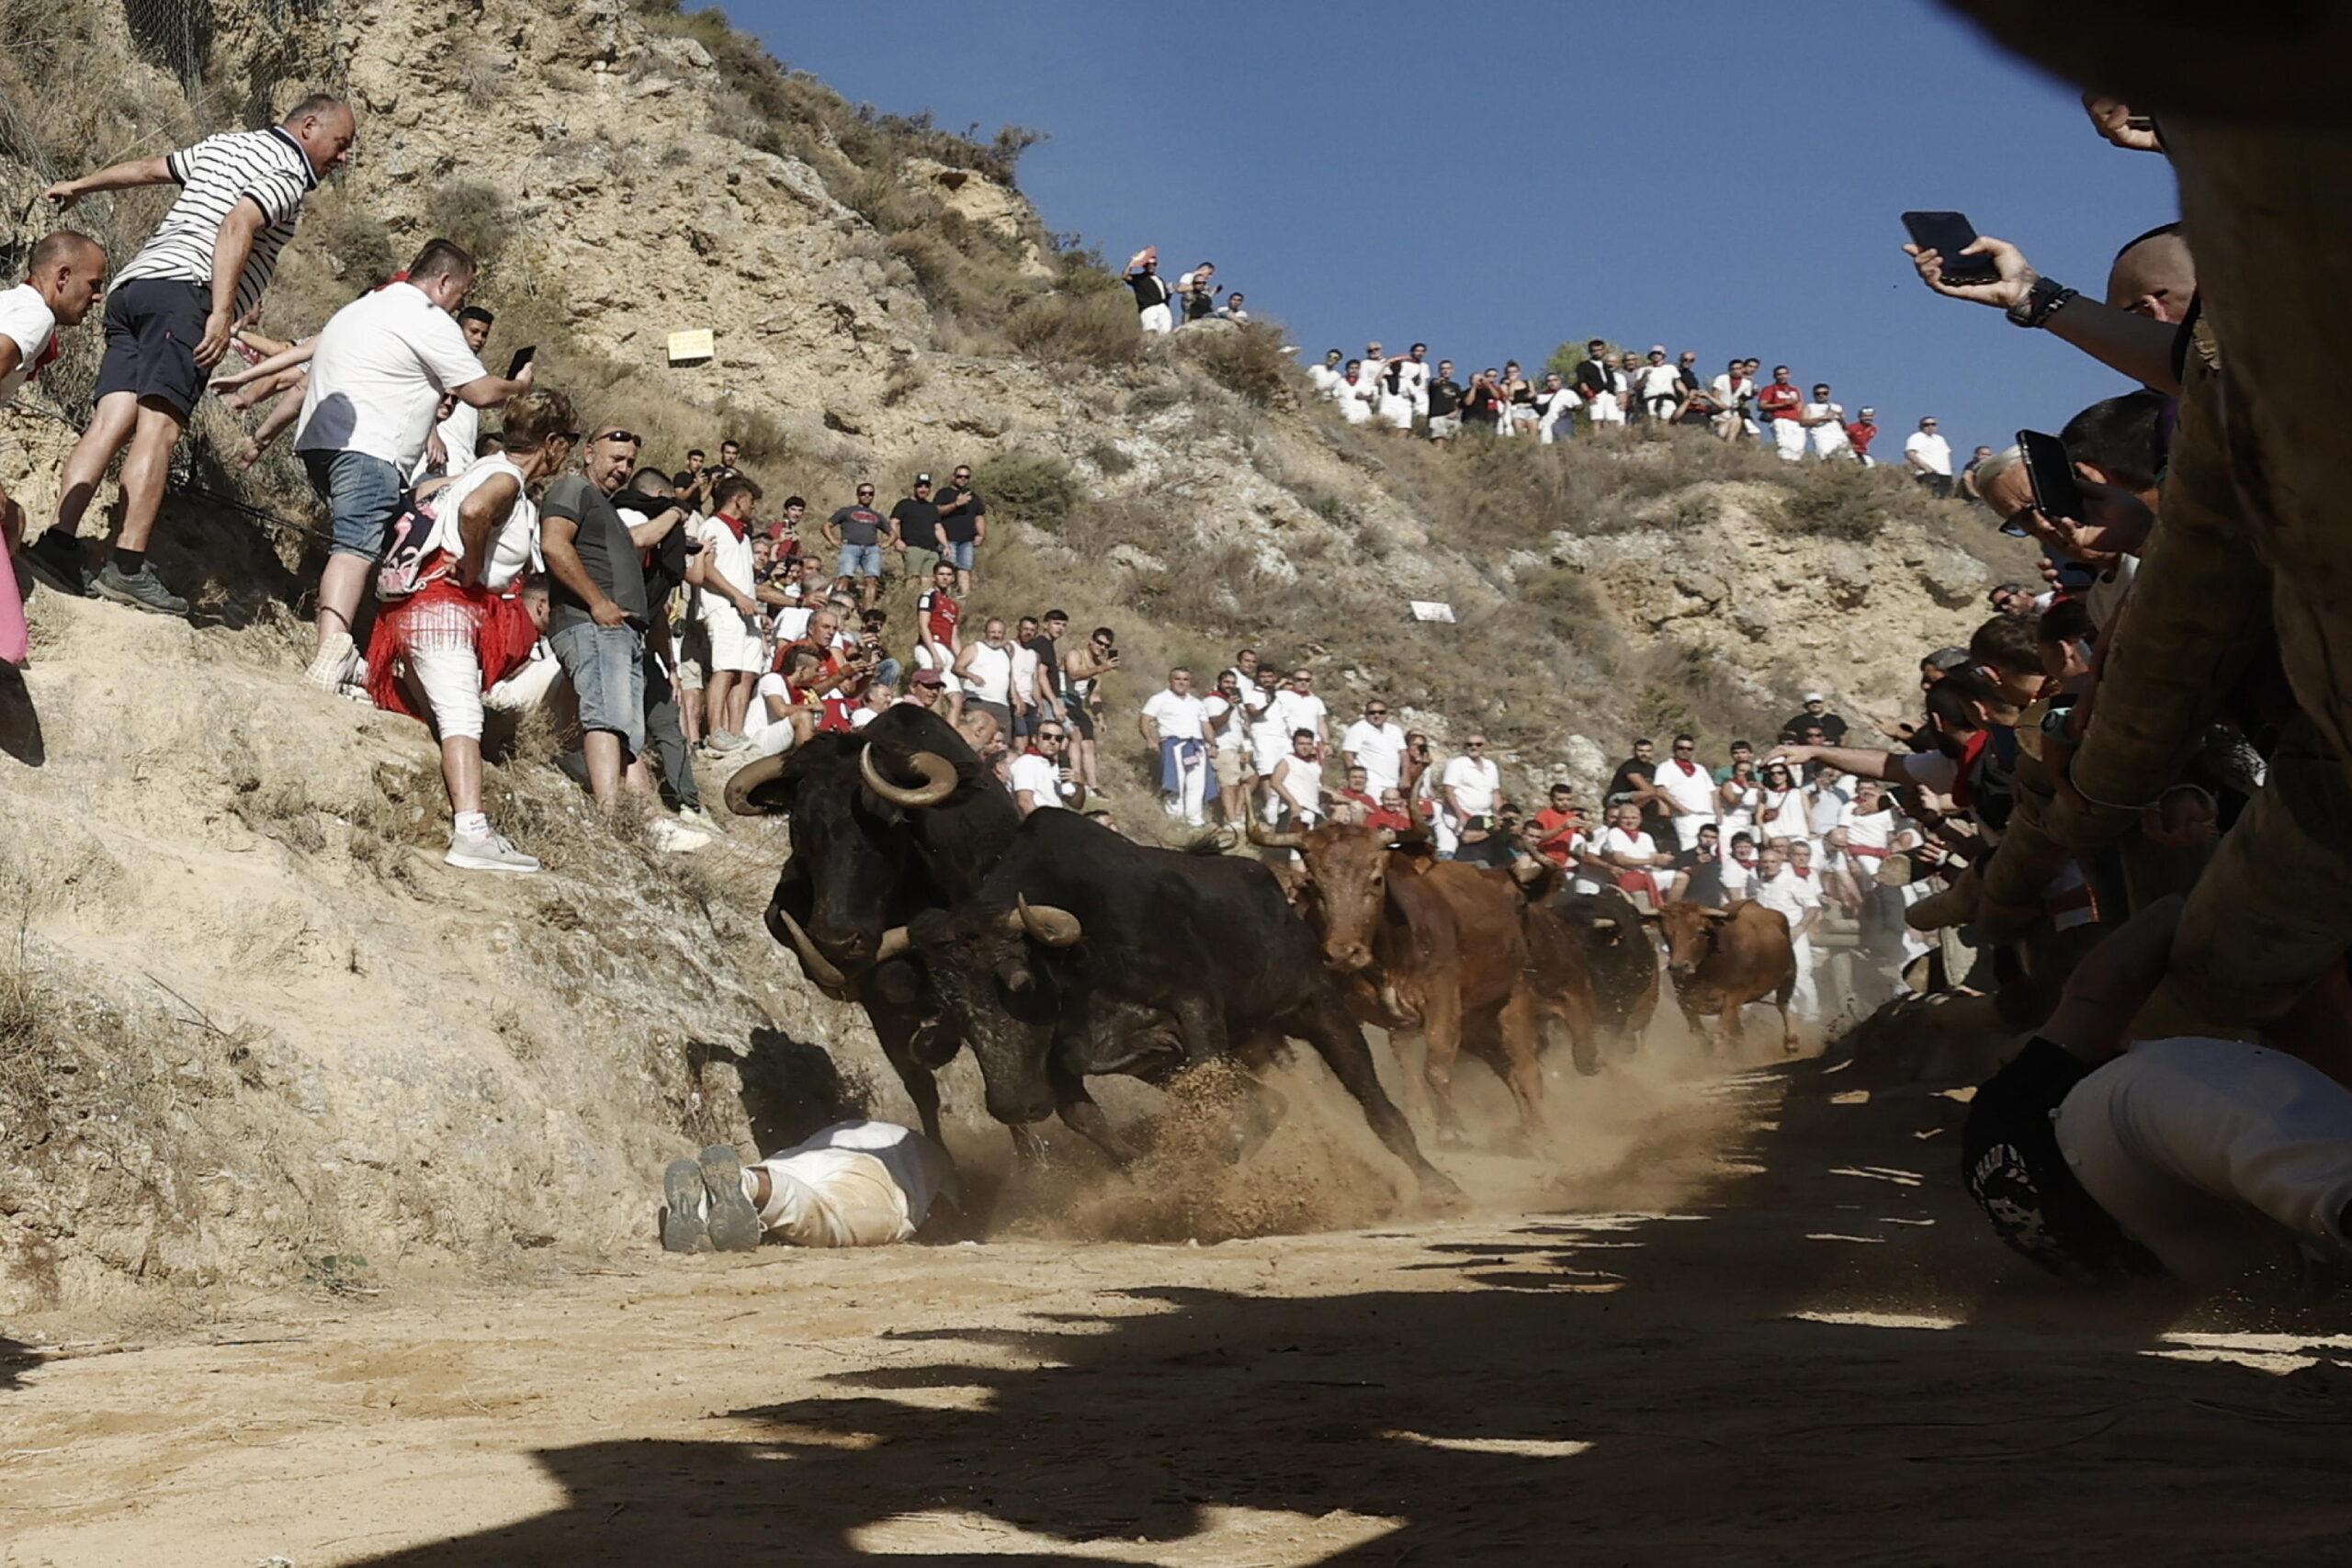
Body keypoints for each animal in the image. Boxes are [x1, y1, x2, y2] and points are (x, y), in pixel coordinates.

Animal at [1261, 822, 1552, 1142]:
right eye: (1313, 884)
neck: (1389, 955)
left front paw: (1450, 1130)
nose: (1342, 953)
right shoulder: (1368, 1013)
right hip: (1476, 1023)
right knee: (1503, 1065)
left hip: (1514, 999)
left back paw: (1541, 1133)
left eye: (1376, 879)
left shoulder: (1442, 998)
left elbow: (1436, 1064)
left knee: (1526, 1069)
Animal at [1646, 893, 1787, 1053]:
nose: (1679, 967)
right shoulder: (1684, 1001)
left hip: (1788, 974)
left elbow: (1720, 1034)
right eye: (1665, 932)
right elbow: (1701, 1035)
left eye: (1701, 930)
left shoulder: (1733, 997)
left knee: (1782, 1006)